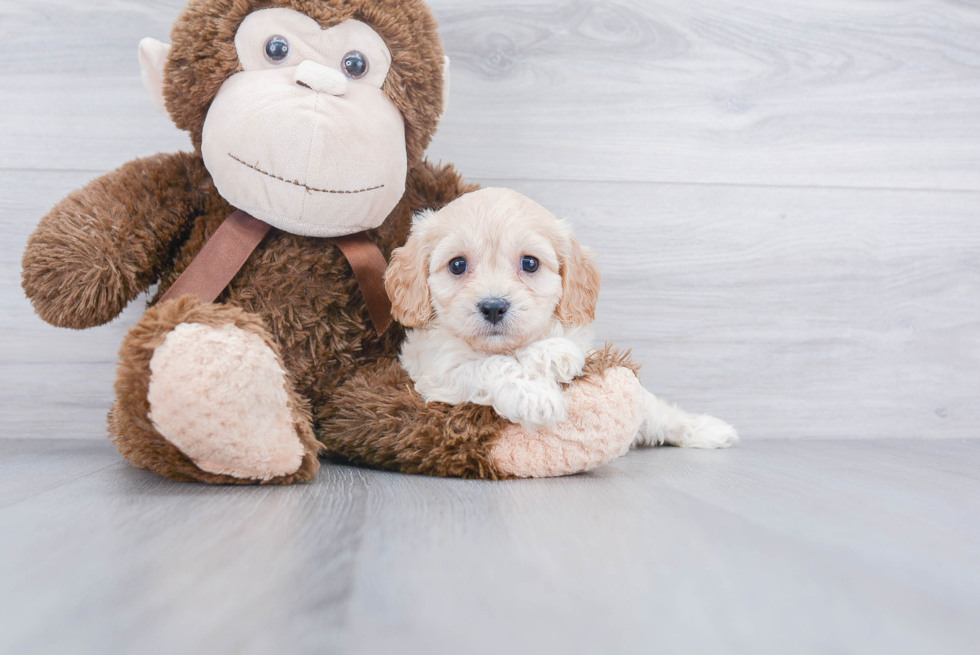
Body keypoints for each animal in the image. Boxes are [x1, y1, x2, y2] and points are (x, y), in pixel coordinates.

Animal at [386, 187, 740, 448]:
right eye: (457, 265)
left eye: (529, 263)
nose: (493, 306)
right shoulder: (437, 371)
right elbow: (491, 366)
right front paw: (536, 395)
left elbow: (650, 403)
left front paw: (552, 353)